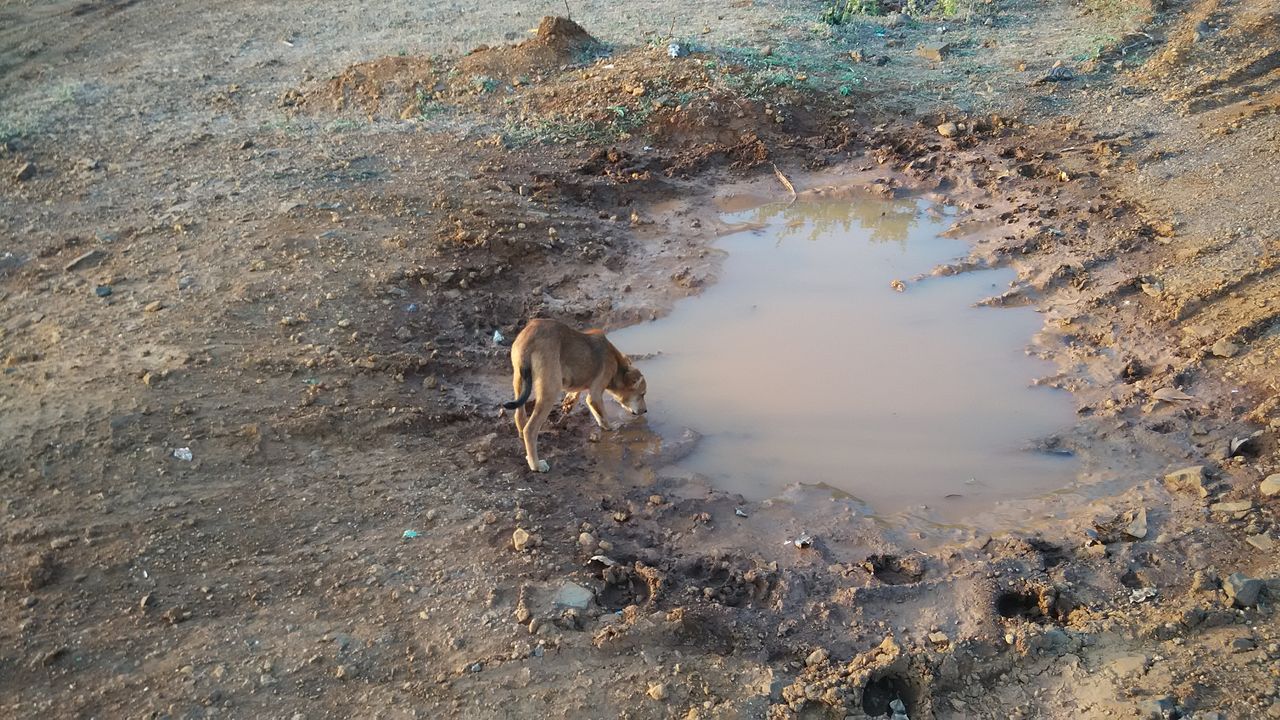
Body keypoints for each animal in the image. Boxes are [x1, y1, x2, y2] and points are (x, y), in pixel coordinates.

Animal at [502, 318, 647, 472]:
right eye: (642, 394)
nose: (645, 411)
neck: (618, 367)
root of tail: (529, 339)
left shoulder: (585, 389)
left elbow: (586, 403)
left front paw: (569, 403)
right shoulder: (595, 394)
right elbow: (602, 414)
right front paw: (610, 427)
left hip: (519, 381)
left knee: (519, 417)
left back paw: (524, 442)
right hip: (550, 391)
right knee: (530, 430)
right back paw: (535, 464)